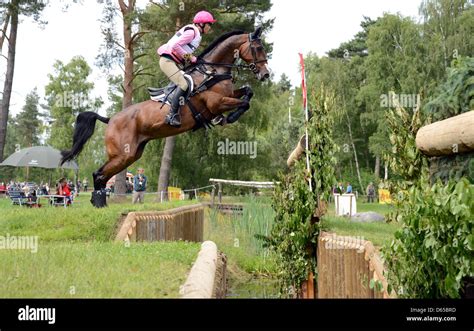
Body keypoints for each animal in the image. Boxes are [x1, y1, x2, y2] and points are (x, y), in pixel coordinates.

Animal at [61, 26, 270, 208]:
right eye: (258, 48)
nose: (265, 75)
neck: (212, 73)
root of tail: (110, 119)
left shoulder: (229, 95)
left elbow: (248, 92)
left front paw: (224, 117)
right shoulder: (216, 103)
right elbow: (244, 103)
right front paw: (230, 117)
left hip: (131, 154)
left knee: (102, 175)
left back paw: (99, 203)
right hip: (123, 154)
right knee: (99, 174)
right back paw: (98, 203)